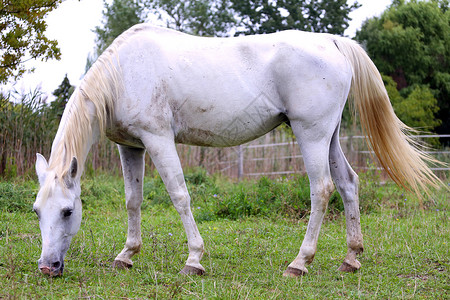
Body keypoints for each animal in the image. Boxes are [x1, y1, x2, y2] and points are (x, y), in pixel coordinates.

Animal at [34, 23, 440, 276]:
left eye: (68, 211)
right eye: (38, 211)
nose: (47, 267)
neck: (124, 72)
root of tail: (332, 41)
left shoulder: (158, 139)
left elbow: (179, 195)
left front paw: (193, 260)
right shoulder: (130, 147)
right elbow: (133, 200)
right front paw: (127, 255)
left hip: (311, 135)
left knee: (322, 189)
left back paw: (300, 262)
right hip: (330, 137)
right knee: (348, 184)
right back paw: (351, 259)